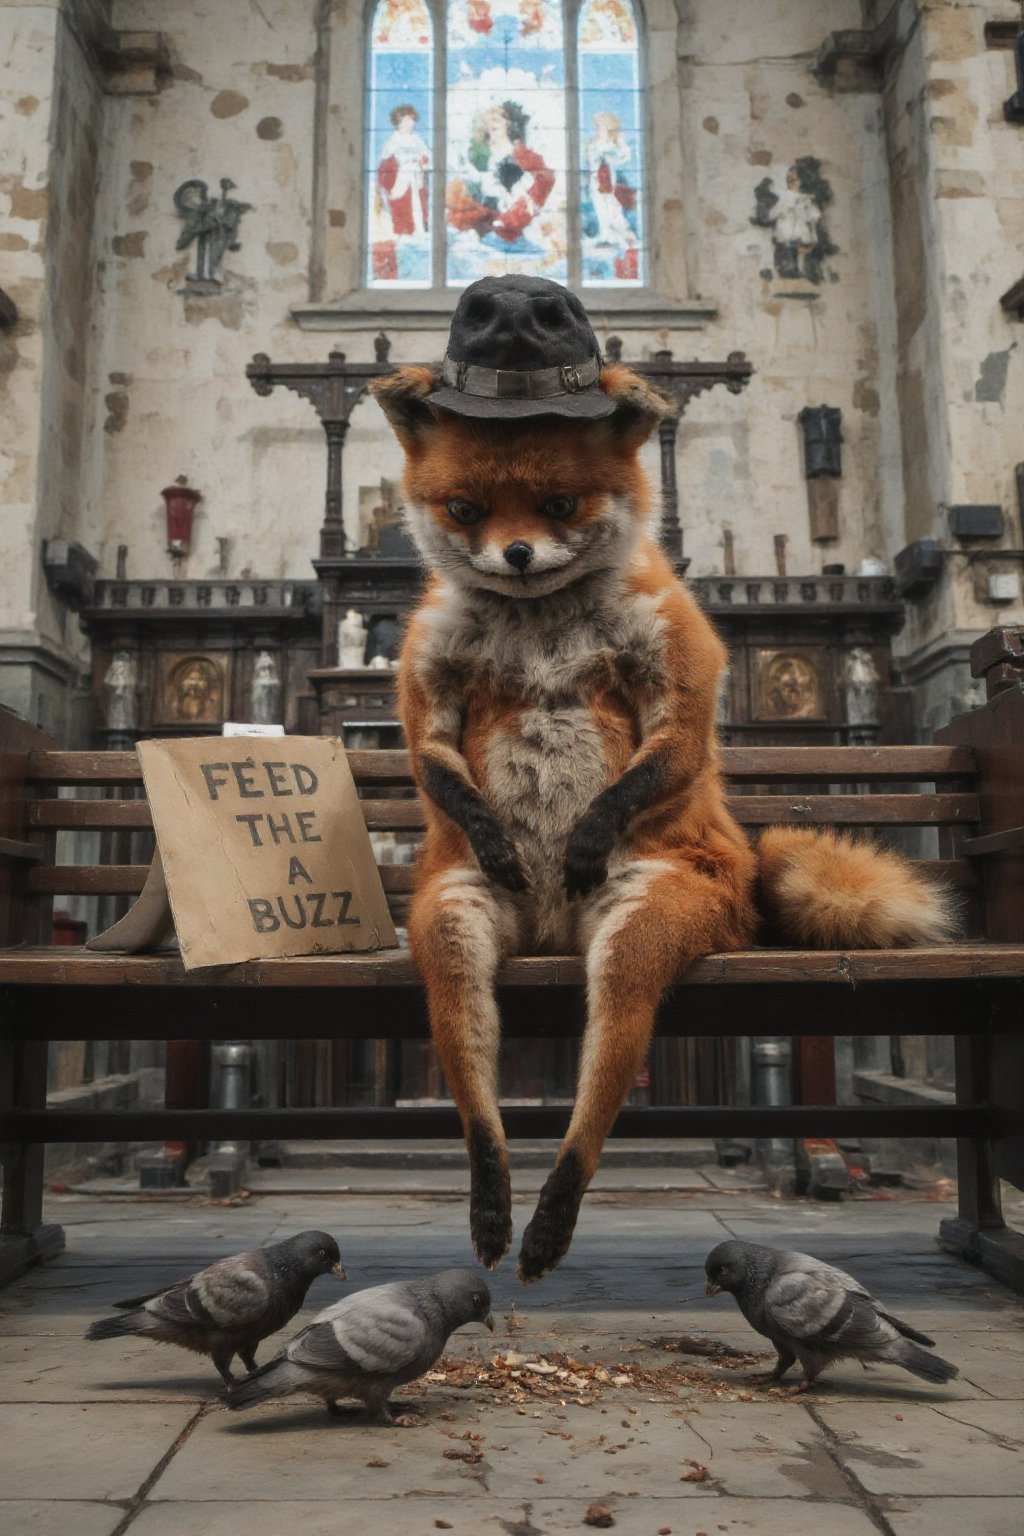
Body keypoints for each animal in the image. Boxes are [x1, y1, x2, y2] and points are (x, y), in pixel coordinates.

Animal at [369, 351, 964, 1284]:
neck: (539, 621)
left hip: (641, 927)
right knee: (478, 1089)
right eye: (465, 509)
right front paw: (499, 834)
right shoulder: (427, 676)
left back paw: (553, 1218)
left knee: (599, 1089)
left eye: (560, 504)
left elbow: (664, 756)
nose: (516, 554)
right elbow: (437, 768)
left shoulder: (681, 675)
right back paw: (495, 1202)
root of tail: (552, 934)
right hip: (454, 924)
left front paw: (584, 835)